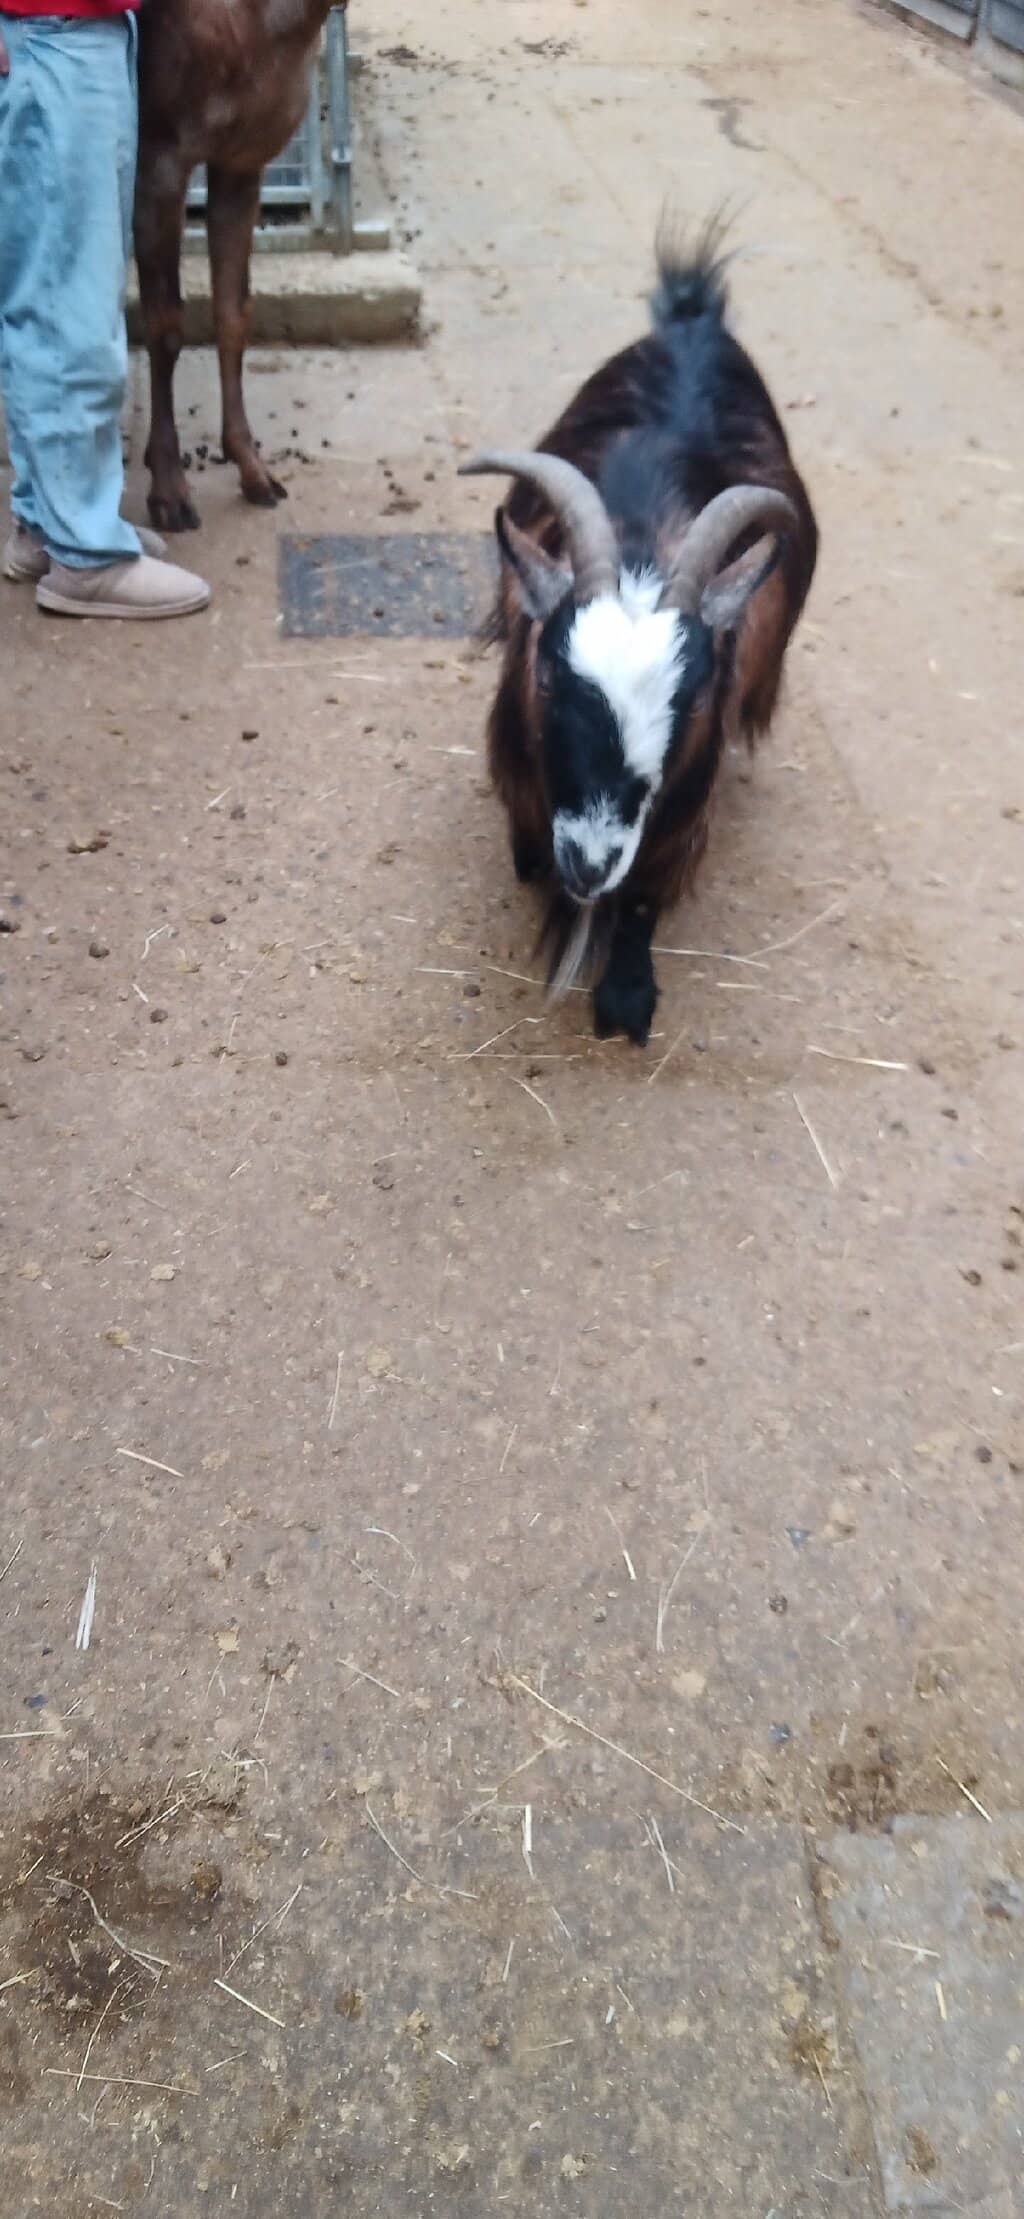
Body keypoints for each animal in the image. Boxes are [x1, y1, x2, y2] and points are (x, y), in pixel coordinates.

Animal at [135, 0, 339, 532]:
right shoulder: (158, 151)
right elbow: (165, 325)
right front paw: (170, 493)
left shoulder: (245, 158)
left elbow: (234, 312)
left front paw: (254, 471)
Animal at [461, 224, 818, 1046]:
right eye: (550, 675)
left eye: (693, 698)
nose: (591, 863)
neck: (644, 547)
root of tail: (692, 321)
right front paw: (534, 865)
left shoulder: (682, 802)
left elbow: (647, 897)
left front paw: (626, 1000)